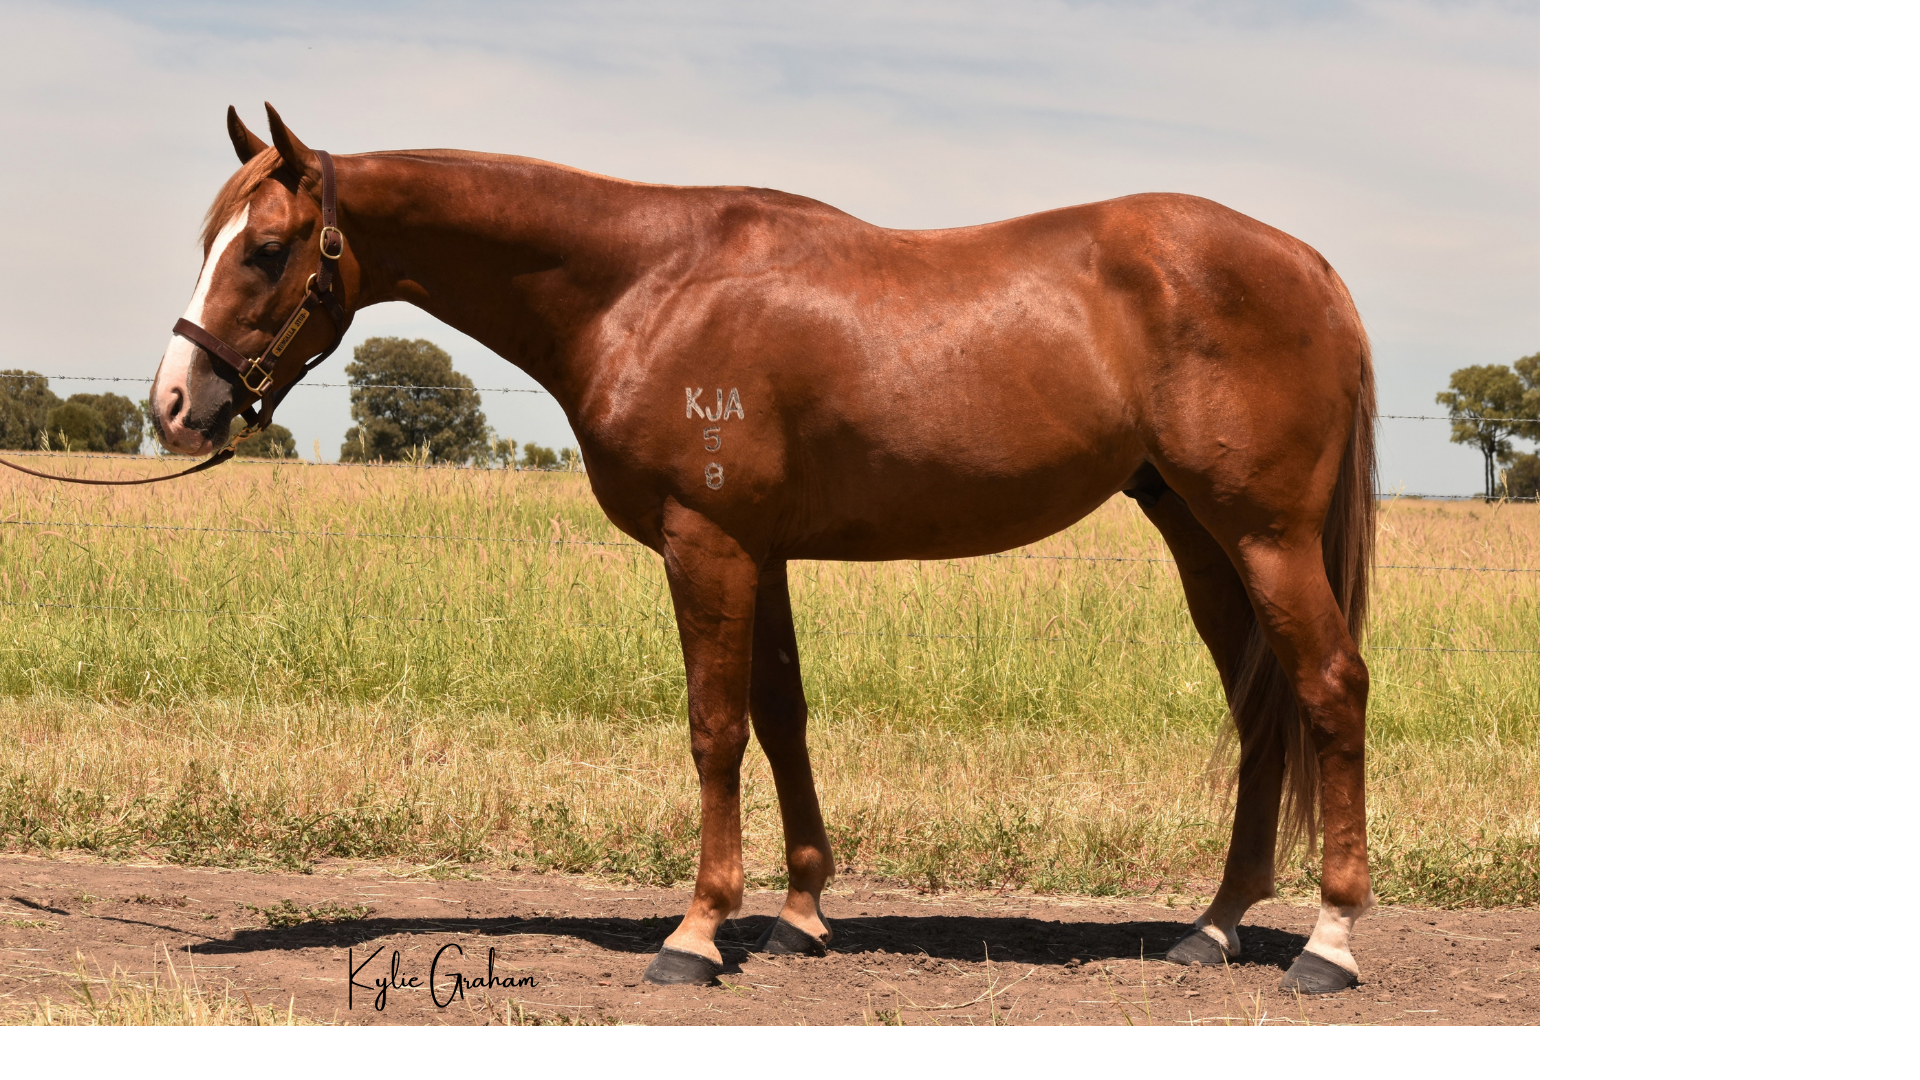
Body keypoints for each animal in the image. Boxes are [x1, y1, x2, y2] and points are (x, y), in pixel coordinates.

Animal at [148, 104, 1379, 993]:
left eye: (266, 250)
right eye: (207, 242)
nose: (175, 405)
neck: (646, 285)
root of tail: (1313, 266)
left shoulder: (709, 545)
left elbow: (716, 729)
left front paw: (695, 933)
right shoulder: (765, 552)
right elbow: (783, 717)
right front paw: (800, 916)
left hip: (1264, 535)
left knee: (1328, 688)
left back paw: (1329, 943)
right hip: (1202, 539)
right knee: (1261, 710)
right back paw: (1214, 928)